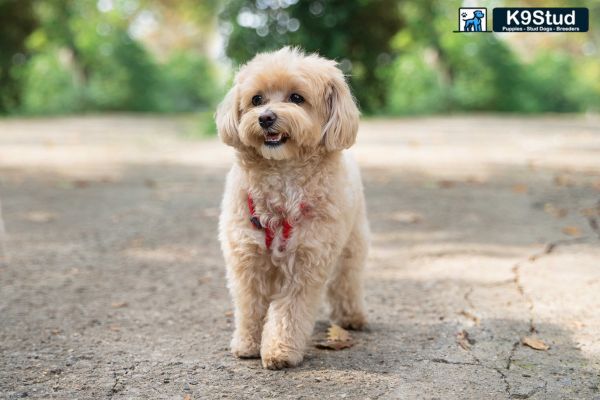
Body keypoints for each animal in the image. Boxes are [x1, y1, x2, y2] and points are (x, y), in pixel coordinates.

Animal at [213, 46, 368, 368]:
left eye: (297, 97)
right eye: (256, 99)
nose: (265, 118)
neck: (282, 177)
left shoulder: (306, 261)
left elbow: (289, 311)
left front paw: (280, 350)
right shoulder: (246, 258)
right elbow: (250, 305)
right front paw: (247, 343)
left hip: (353, 243)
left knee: (347, 280)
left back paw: (352, 317)